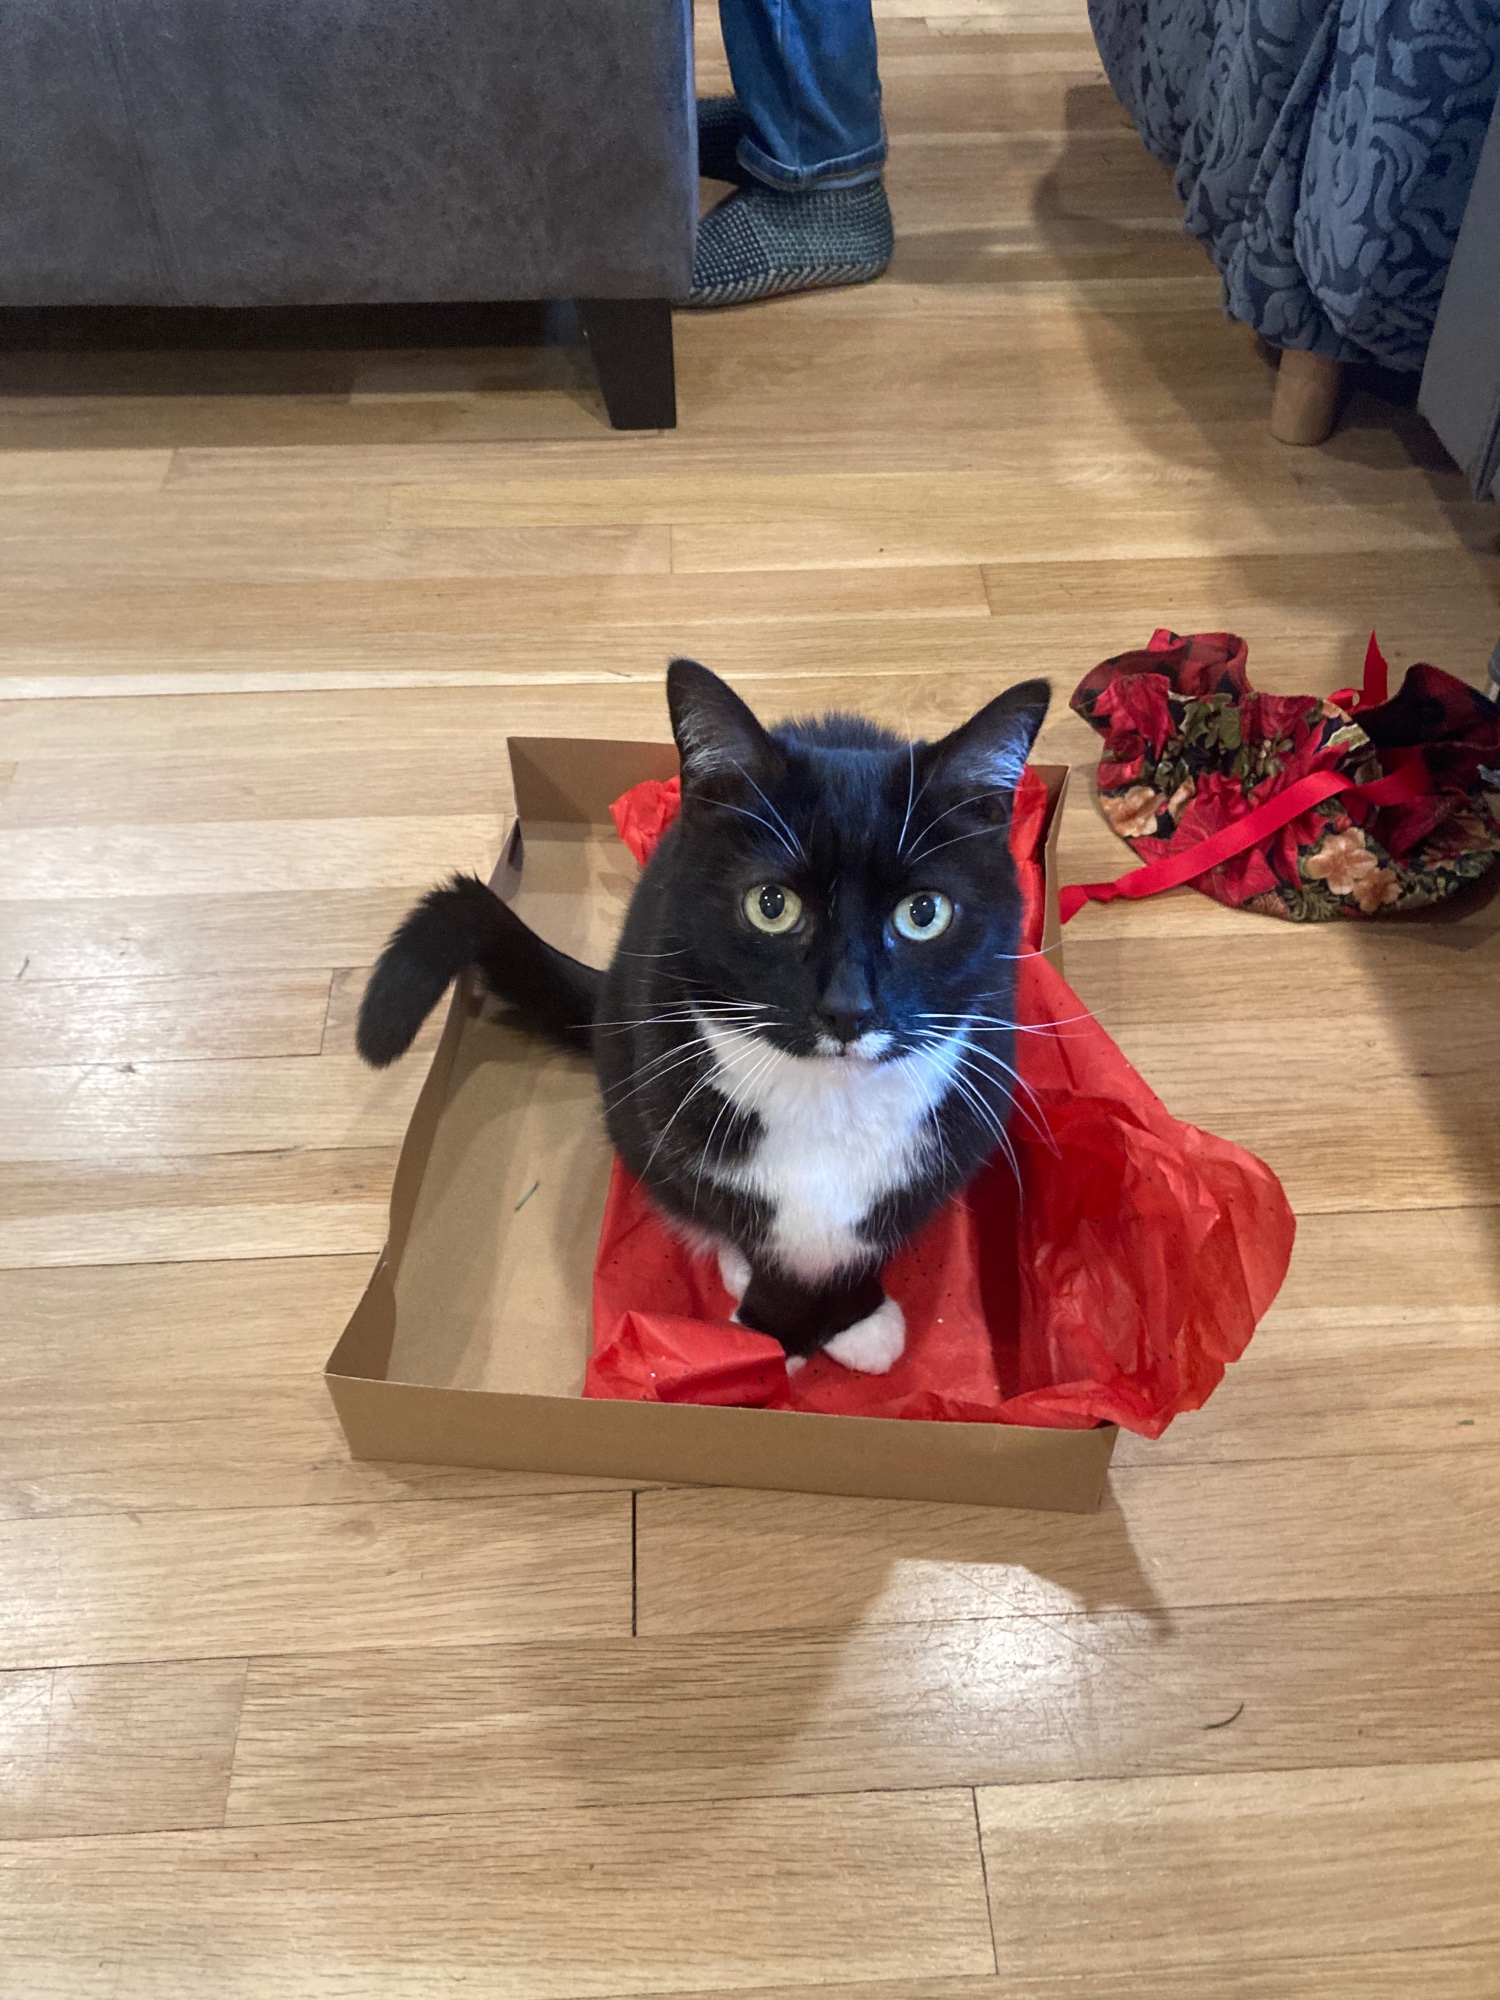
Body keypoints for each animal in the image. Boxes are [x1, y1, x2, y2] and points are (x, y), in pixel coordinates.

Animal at [357, 660, 1050, 1373]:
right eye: (771, 905)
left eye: (924, 913)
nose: (847, 1009)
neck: (827, 1105)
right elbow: (750, 1228)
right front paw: (776, 1339)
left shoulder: (945, 1139)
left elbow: (872, 1232)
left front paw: (850, 1316)